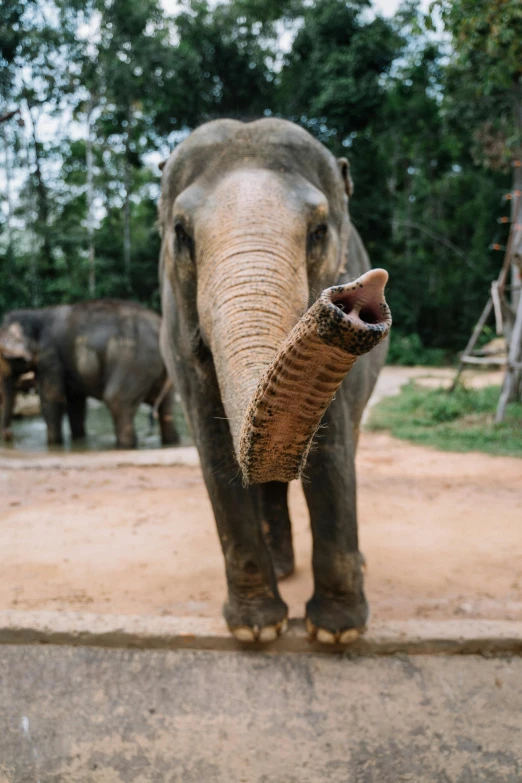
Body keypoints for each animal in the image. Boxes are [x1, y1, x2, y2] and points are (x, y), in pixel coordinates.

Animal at [0, 298, 179, 450]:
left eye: (3, 356)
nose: (9, 434)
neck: (34, 314)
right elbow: (76, 403)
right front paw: (78, 439)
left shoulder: (49, 357)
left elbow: (52, 399)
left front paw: (54, 445)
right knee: (166, 409)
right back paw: (171, 442)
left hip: (134, 362)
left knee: (116, 400)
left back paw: (123, 447)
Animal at [158, 116, 390, 644]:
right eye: (180, 234)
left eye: (319, 232)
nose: (360, 294)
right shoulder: (176, 336)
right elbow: (216, 452)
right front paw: (257, 630)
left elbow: (331, 452)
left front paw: (335, 633)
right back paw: (282, 570)